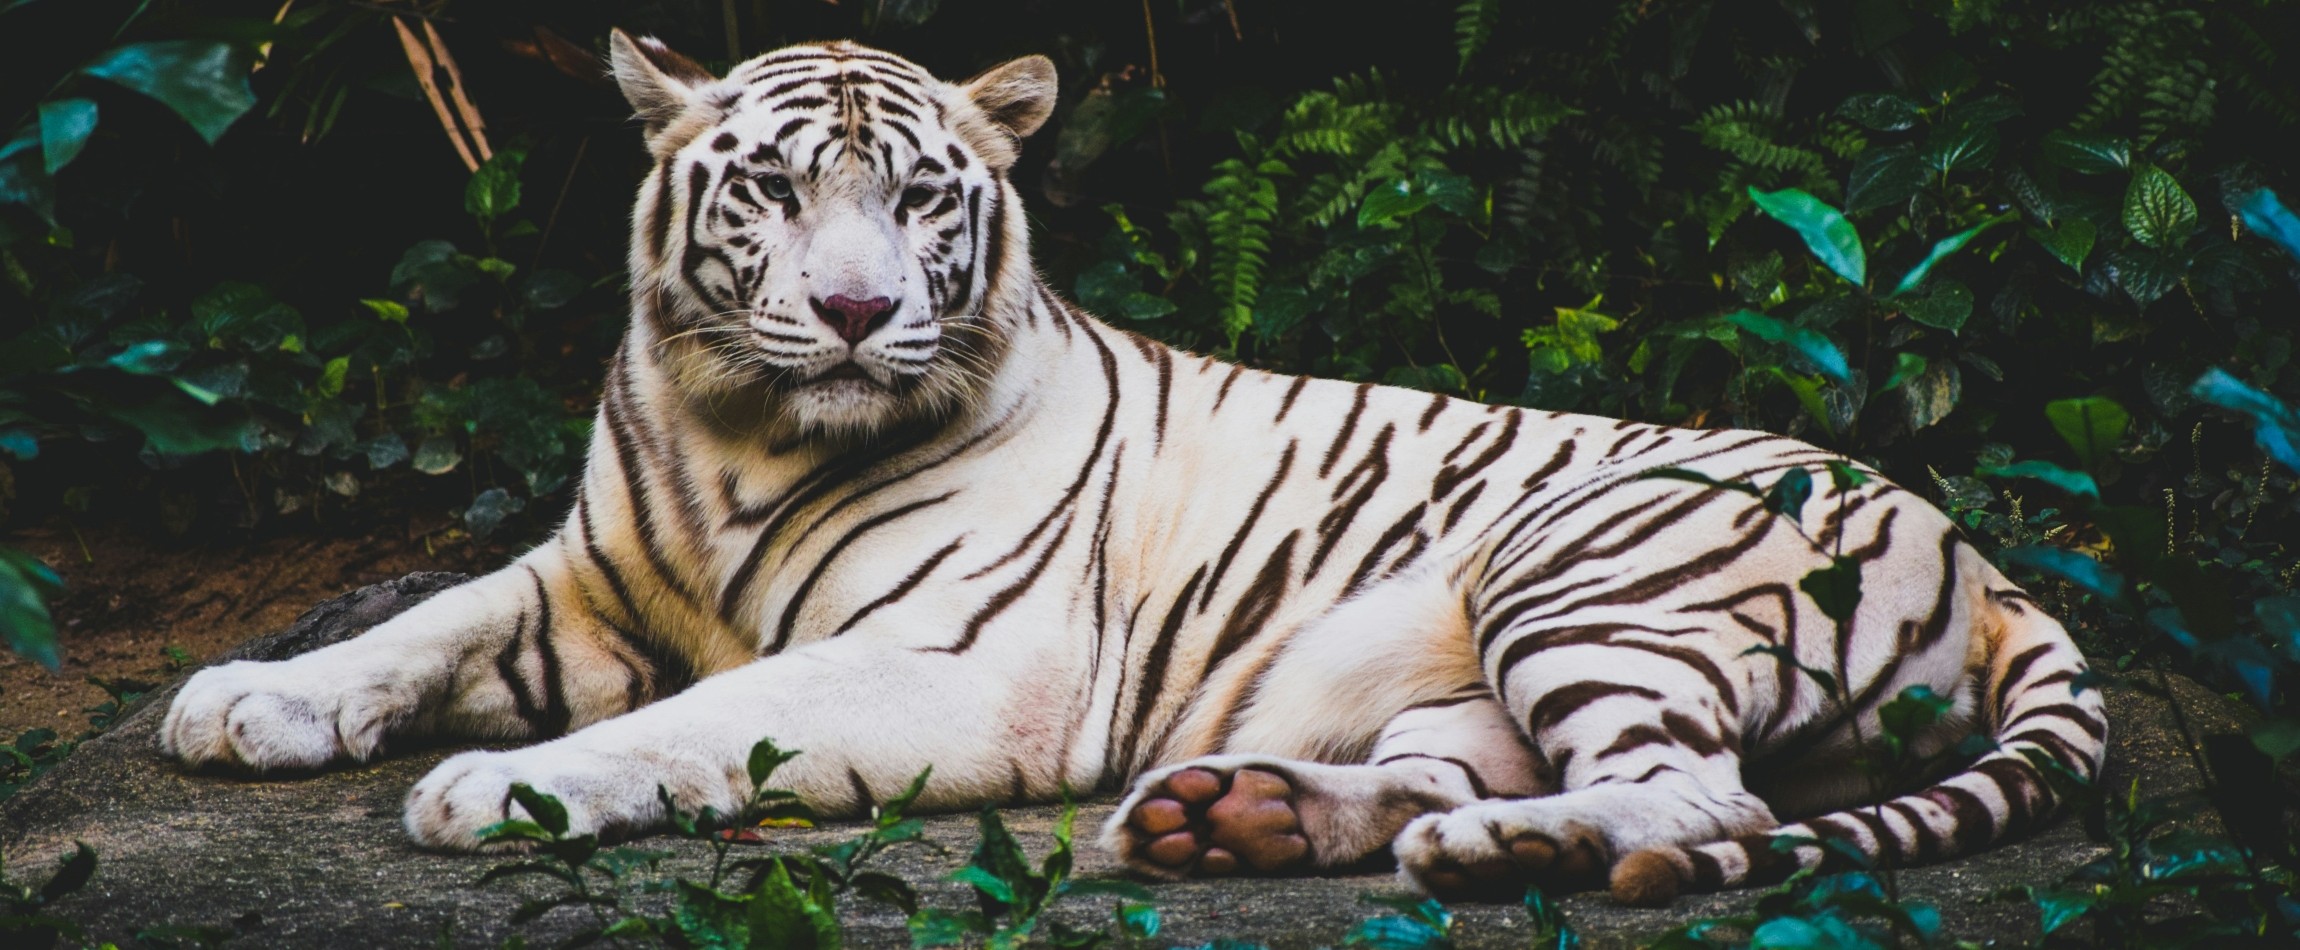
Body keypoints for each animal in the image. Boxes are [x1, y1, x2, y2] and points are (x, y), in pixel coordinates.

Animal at [158, 32, 2107, 906]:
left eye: (919, 198)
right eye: (774, 190)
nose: (856, 311)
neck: (738, 431)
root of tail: (1989, 559)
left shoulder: (957, 664)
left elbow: (698, 721)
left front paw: (500, 791)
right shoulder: (587, 575)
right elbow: (420, 620)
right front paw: (246, 699)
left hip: (1586, 566)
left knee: (1707, 799)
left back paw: (1505, 850)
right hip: (1461, 667)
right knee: (1469, 768)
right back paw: (1239, 814)